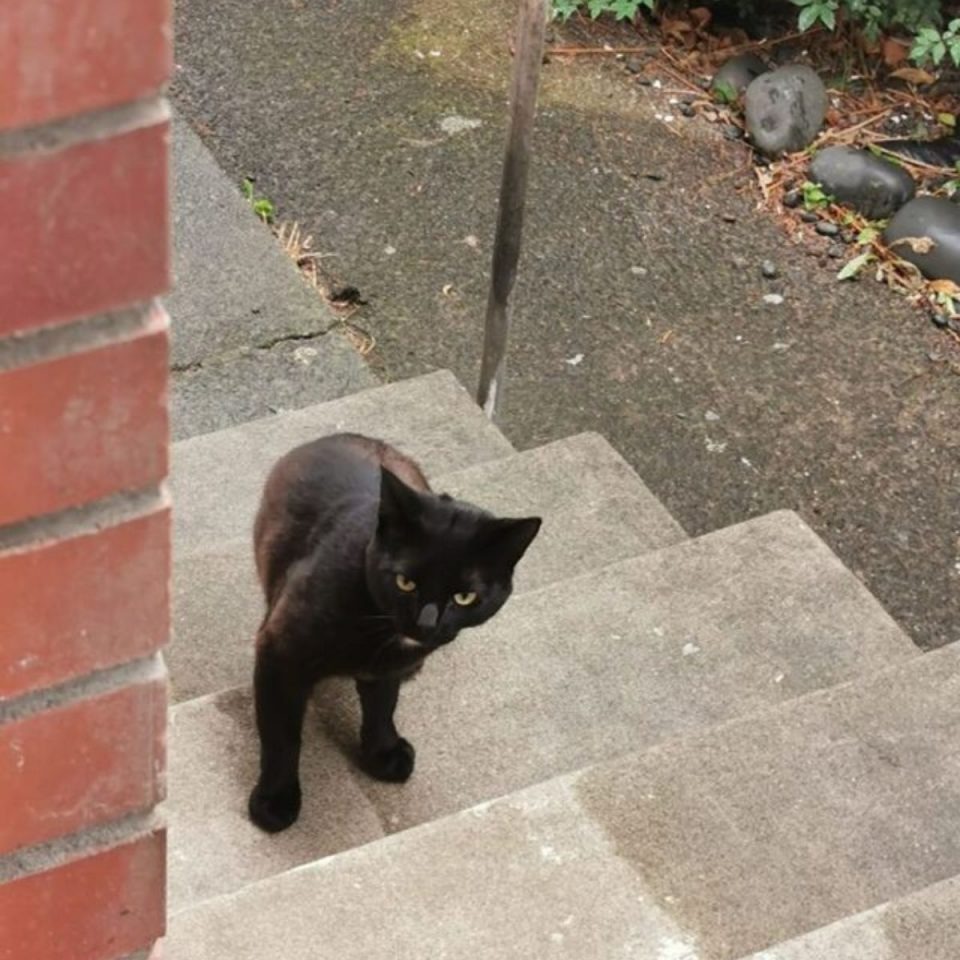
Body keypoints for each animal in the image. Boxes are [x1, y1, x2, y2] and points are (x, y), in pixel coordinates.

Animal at [246, 432, 540, 828]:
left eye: (464, 597)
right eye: (405, 581)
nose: (426, 622)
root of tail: (337, 436)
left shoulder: (387, 668)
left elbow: (382, 706)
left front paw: (382, 753)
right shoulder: (279, 653)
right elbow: (281, 736)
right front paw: (275, 800)